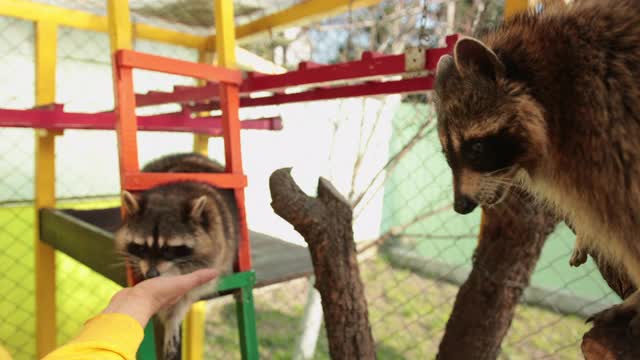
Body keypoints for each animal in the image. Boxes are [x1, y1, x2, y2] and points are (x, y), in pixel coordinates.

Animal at [114, 153, 239, 360]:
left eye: (168, 249)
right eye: (142, 247)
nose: (151, 274)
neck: (170, 195)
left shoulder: (218, 248)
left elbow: (187, 295)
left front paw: (173, 319)